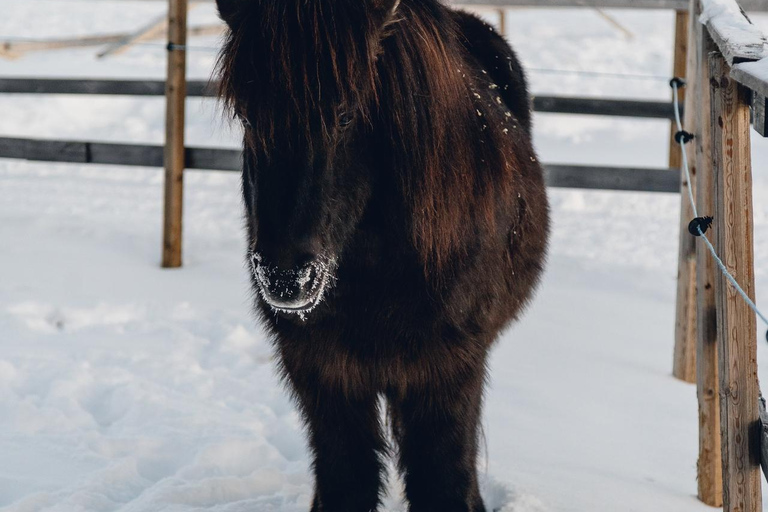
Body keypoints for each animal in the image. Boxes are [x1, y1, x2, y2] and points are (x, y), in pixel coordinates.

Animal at [215, 1, 549, 510]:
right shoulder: (323, 373)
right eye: (248, 116)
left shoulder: (446, 373)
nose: (285, 276)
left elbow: (443, 481)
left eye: (346, 115)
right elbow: (347, 480)